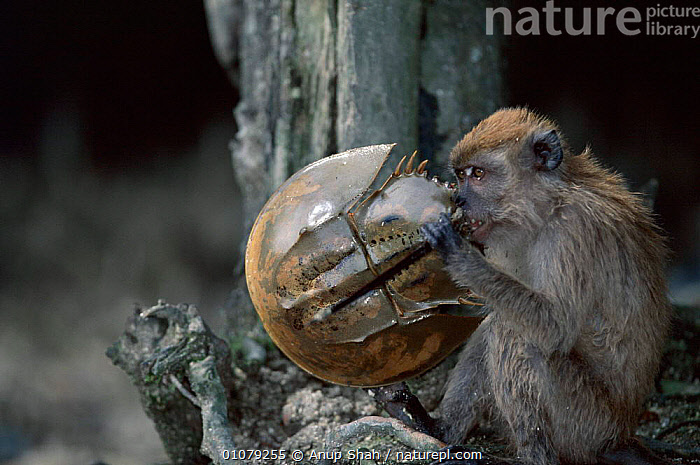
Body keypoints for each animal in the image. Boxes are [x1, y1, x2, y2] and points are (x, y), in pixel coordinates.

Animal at [419, 108, 671, 465]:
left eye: (478, 174)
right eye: (460, 175)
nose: (458, 199)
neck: (548, 205)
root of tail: (620, 434)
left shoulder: (572, 232)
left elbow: (554, 326)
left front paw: (458, 253)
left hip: (587, 425)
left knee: (517, 335)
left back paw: (535, 454)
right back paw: (440, 430)